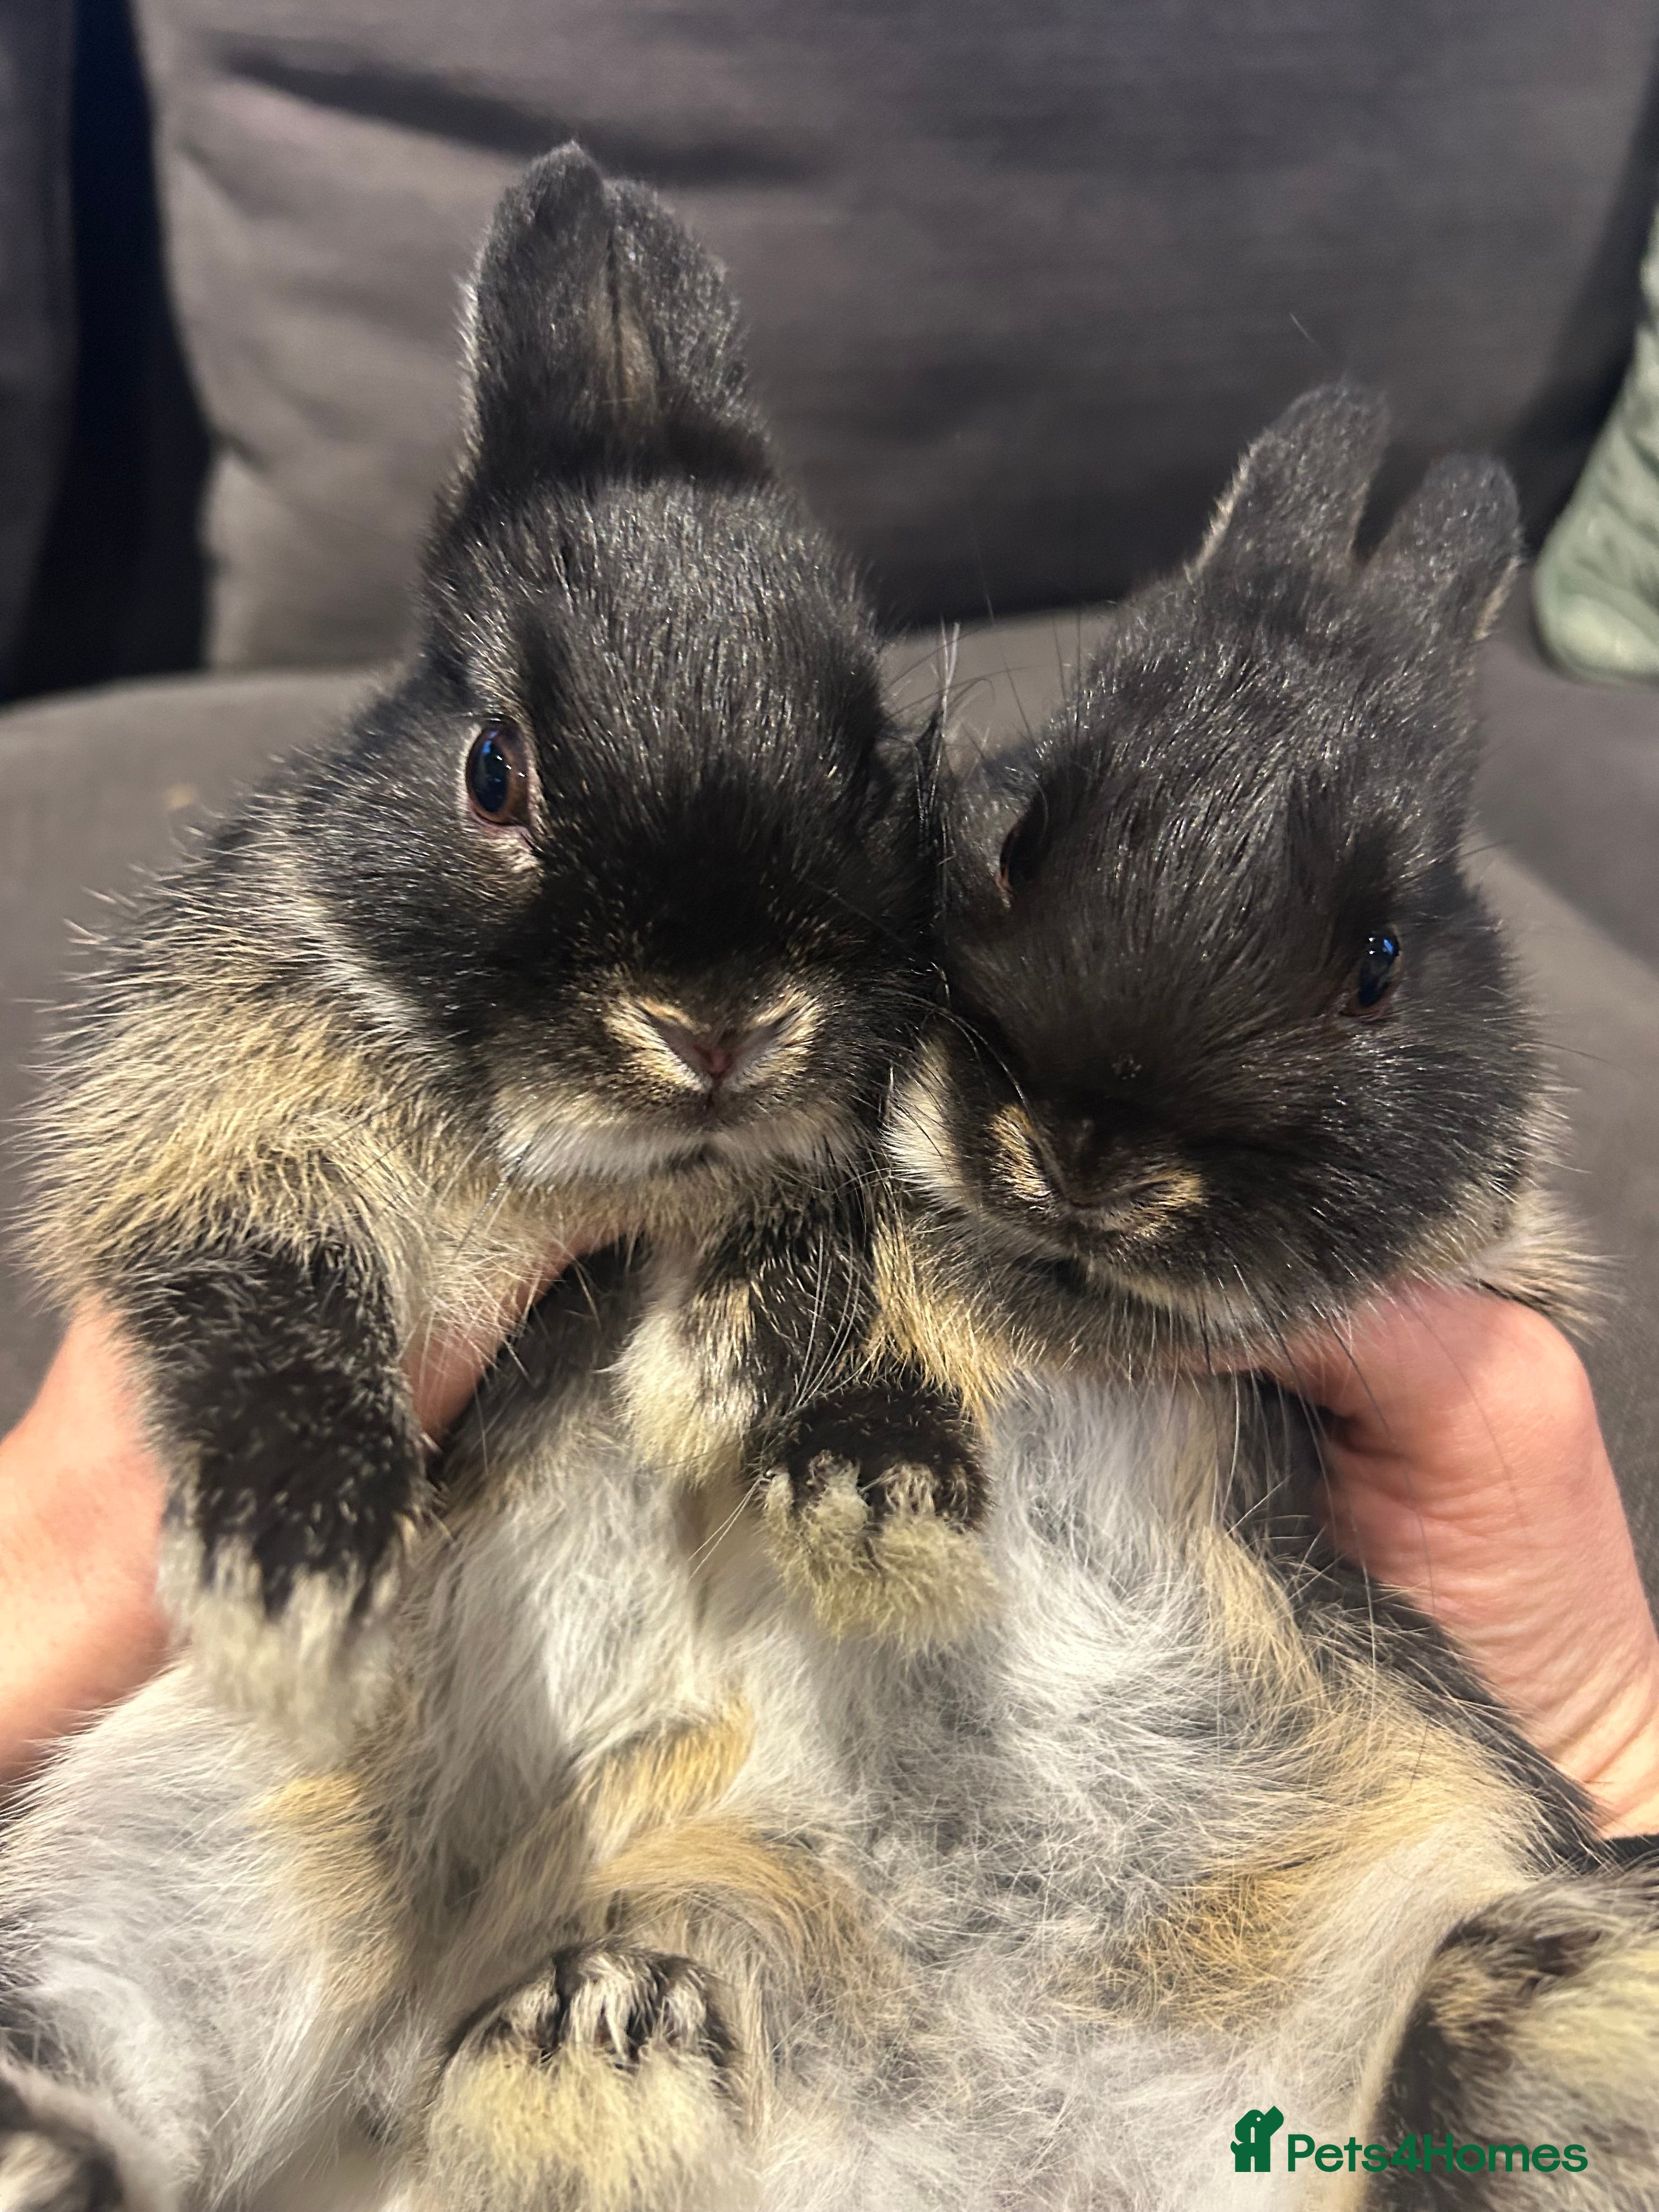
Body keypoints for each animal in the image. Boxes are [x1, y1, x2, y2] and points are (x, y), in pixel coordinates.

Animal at [22, 142, 989, 1754]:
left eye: (875, 767)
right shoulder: (210, 1124)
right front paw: (285, 1593)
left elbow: (818, 1226)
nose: (719, 1027)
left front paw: (776, 1421)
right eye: (492, 770)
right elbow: (274, 1290)